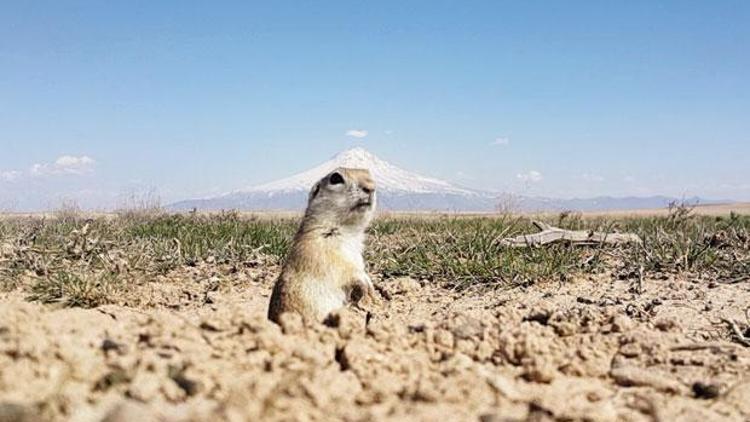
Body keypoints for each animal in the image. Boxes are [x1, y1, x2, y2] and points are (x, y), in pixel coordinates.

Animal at [268, 166, 378, 322]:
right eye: (335, 178)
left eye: (368, 173)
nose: (371, 187)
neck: (348, 231)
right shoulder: (320, 250)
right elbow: (345, 269)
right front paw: (368, 285)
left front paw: (371, 294)